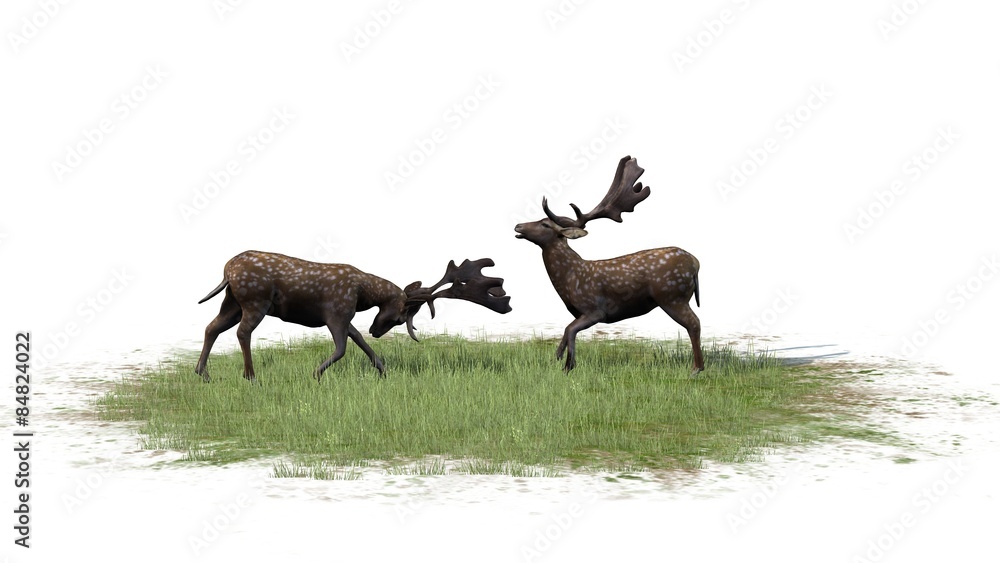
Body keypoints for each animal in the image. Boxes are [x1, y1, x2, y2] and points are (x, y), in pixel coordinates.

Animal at [194, 251, 511, 383]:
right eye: (401, 318)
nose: (376, 329)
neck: (363, 295)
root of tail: (227, 269)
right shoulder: (336, 312)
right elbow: (342, 348)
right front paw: (315, 374)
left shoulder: (344, 317)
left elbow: (357, 339)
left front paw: (382, 369)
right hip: (254, 300)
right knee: (242, 332)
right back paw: (250, 376)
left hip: (232, 301)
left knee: (212, 327)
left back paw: (203, 374)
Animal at [514, 155, 704, 375]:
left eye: (545, 224)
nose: (518, 225)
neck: (568, 280)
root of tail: (695, 262)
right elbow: (565, 332)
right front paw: (557, 360)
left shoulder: (595, 309)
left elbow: (569, 329)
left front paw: (568, 366)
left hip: (673, 295)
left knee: (694, 323)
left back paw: (696, 369)